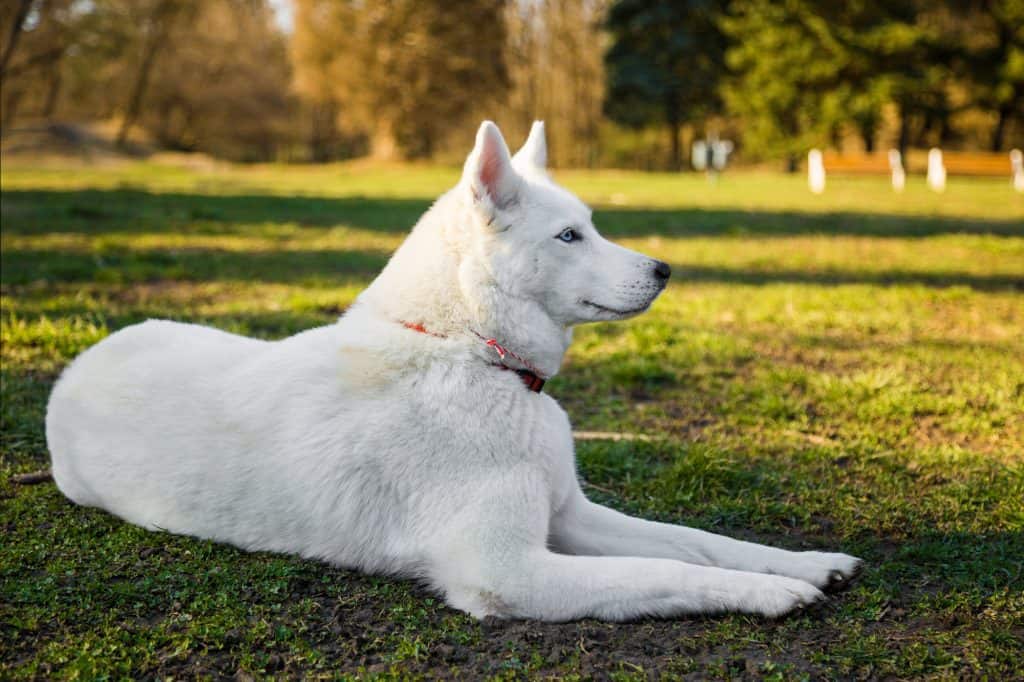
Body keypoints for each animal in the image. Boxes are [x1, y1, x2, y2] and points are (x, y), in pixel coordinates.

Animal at [49, 119, 864, 618]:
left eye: (592, 225)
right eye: (569, 236)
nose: (665, 271)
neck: (473, 352)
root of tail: (76, 367)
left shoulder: (571, 518)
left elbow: (695, 540)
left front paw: (802, 563)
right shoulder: (510, 570)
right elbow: (668, 572)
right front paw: (766, 595)